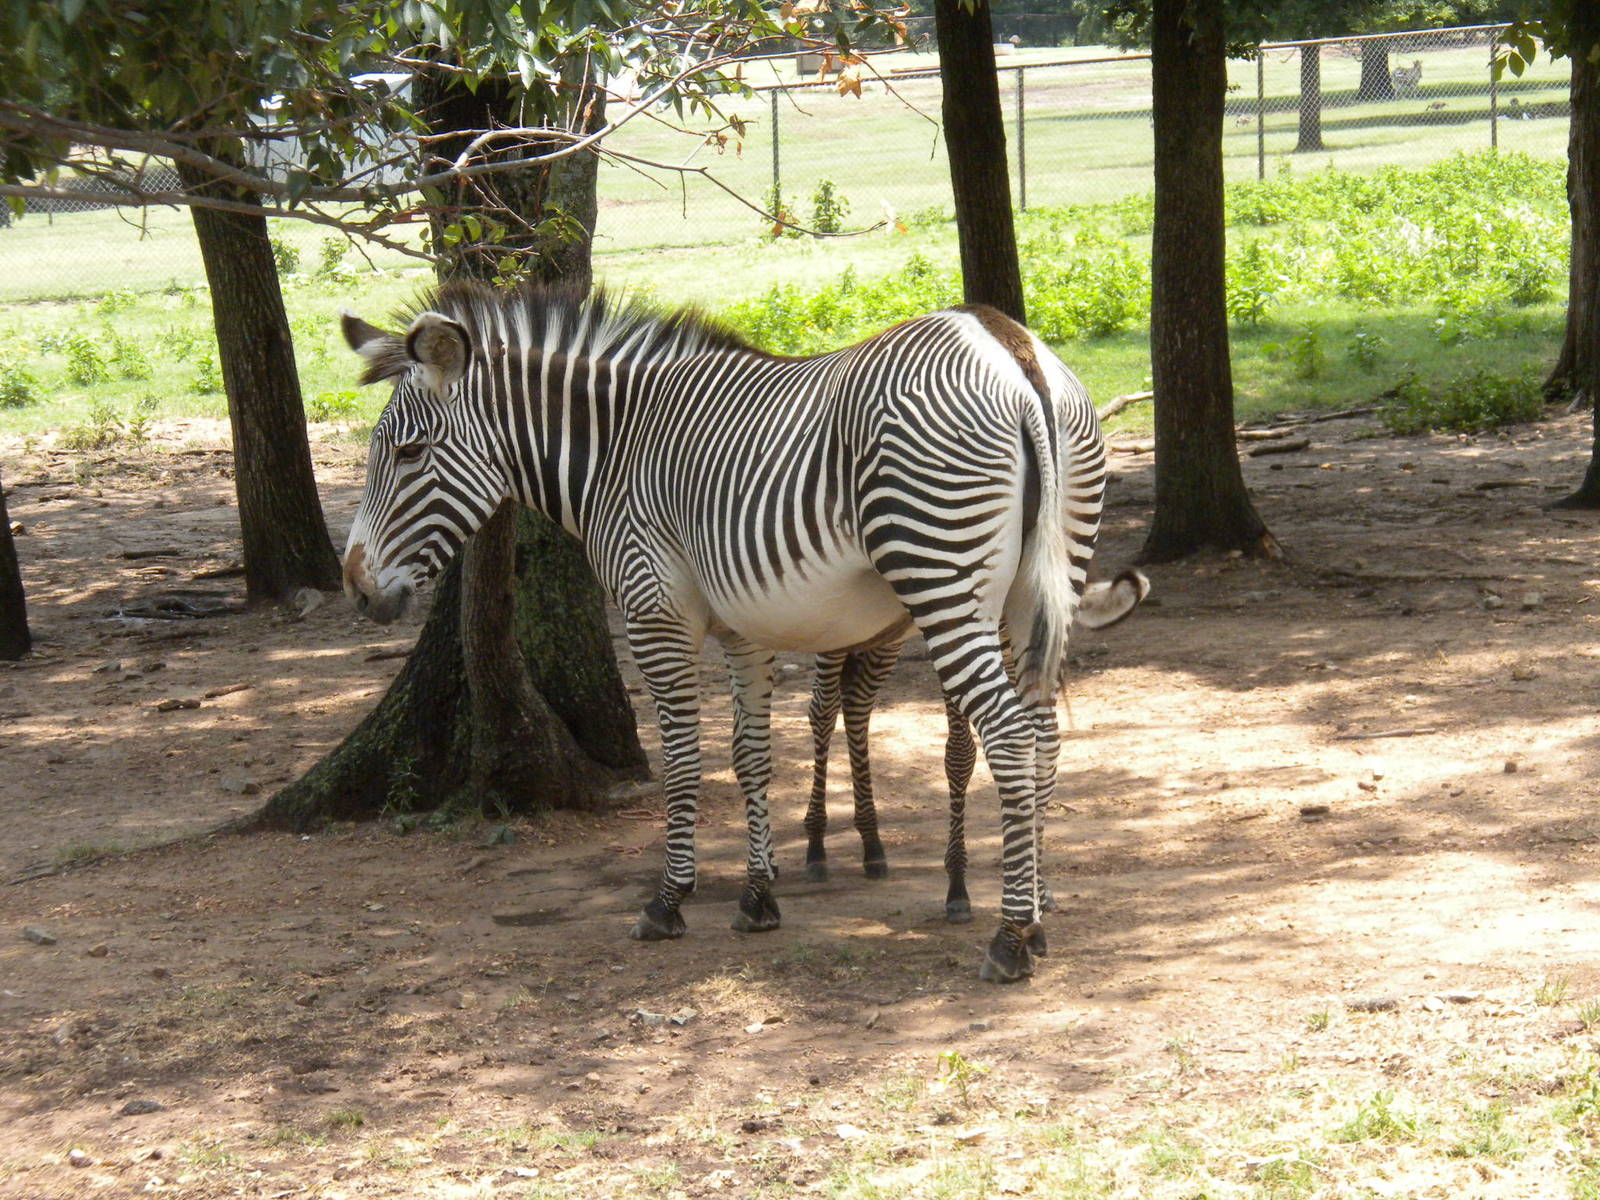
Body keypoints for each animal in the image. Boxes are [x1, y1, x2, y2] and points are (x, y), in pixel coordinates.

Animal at [340, 280, 1111, 982]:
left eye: (408, 454)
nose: (355, 587)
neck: (616, 451)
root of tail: (1006, 344)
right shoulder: (746, 627)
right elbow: (750, 755)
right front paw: (758, 897)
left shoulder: (655, 612)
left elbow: (684, 760)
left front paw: (668, 902)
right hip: (1040, 579)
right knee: (1043, 733)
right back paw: (1037, 915)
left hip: (941, 572)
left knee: (1007, 734)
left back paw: (1009, 940)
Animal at [801, 569, 1149, 923]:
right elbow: (960, 753)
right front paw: (957, 885)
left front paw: (1039, 889)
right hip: (833, 618)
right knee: (823, 709)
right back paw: (816, 844)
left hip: (882, 630)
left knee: (857, 702)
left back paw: (871, 843)